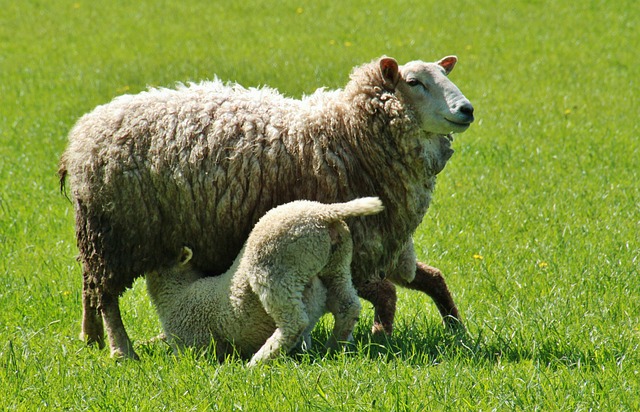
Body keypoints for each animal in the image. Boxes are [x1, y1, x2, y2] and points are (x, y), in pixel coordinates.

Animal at [146, 198, 384, 366]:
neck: (176, 295)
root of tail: (324, 212)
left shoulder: (192, 342)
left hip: (276, 270)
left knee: (295, 322)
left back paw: (259, 361)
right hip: (337, 264)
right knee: (348, 307)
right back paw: (334, 347)